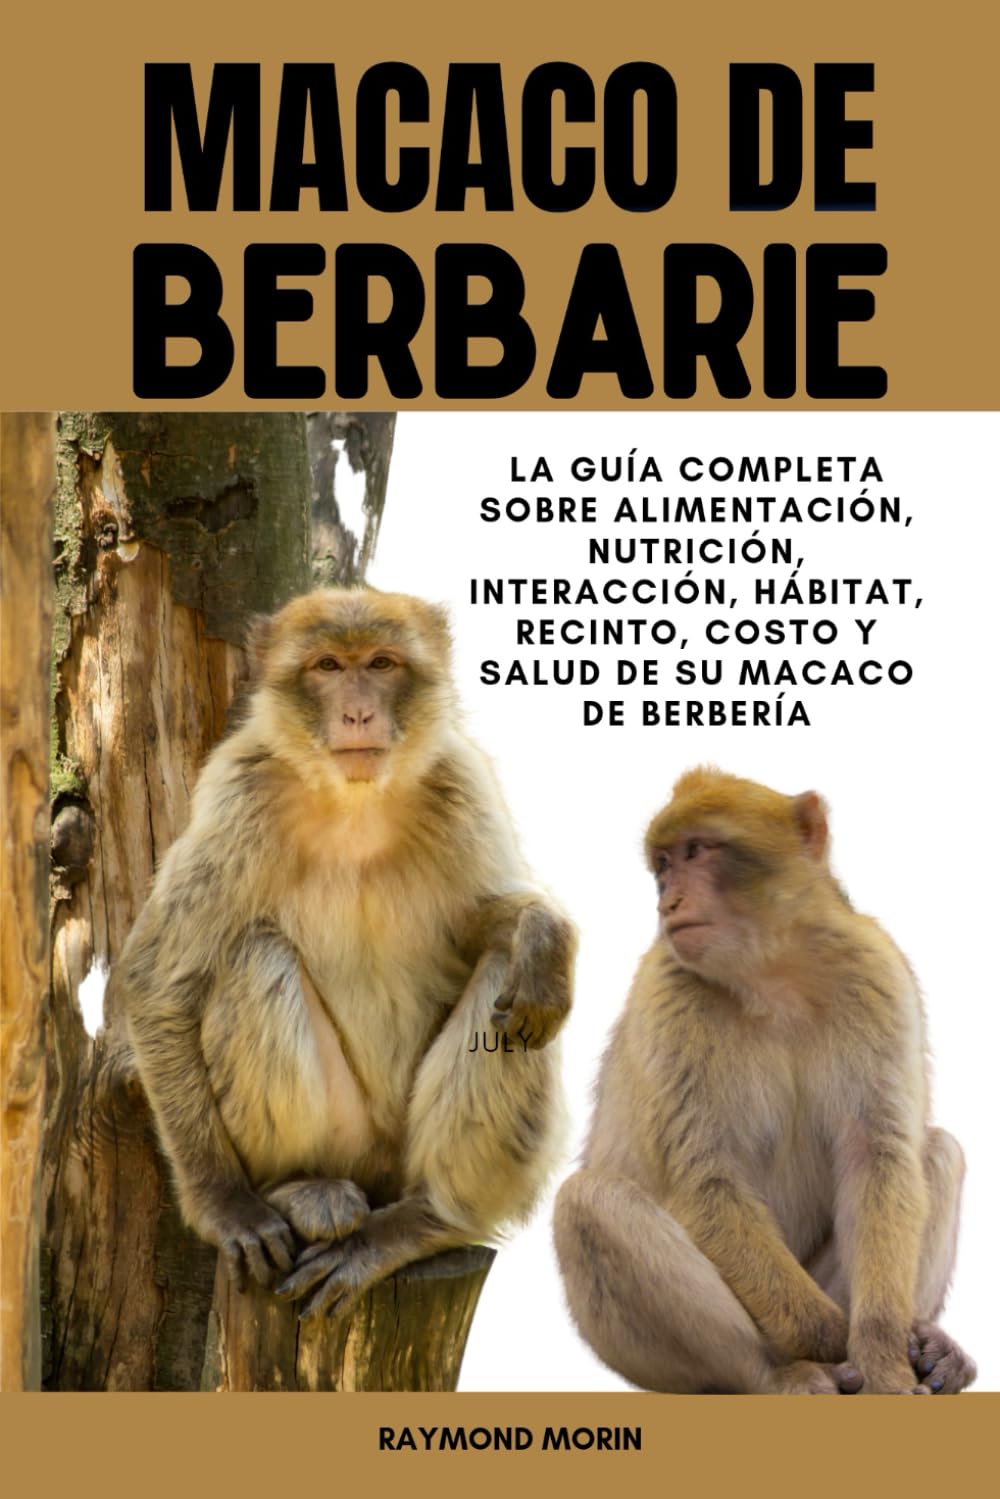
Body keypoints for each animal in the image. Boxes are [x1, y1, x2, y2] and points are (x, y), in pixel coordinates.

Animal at [116, 587, 573, 1319]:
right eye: (328, 665)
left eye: (381, 663)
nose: (357, 710)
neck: (354, 801)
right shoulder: (239, 793)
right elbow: (157, 979)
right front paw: (223, 1203)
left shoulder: (460, 780)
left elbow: (482, 933)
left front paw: (543, 933)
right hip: (348, 1141)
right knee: (253, 955)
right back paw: (298, 1185)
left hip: (403, 1154)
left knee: (512, 988)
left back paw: (429, 1218)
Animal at [554, 767, 975, 1395]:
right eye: (663, 864)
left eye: (696, 852)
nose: (667, 900)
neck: (774, 976)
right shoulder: (669, 995)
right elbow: (707, 1179)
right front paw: (832, 1338)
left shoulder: (878, 974)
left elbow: (878, 1154)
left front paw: (881, 1353)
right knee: (589, 1204)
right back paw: (783, 1373)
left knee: (937, 1151)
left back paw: (927, 1344)